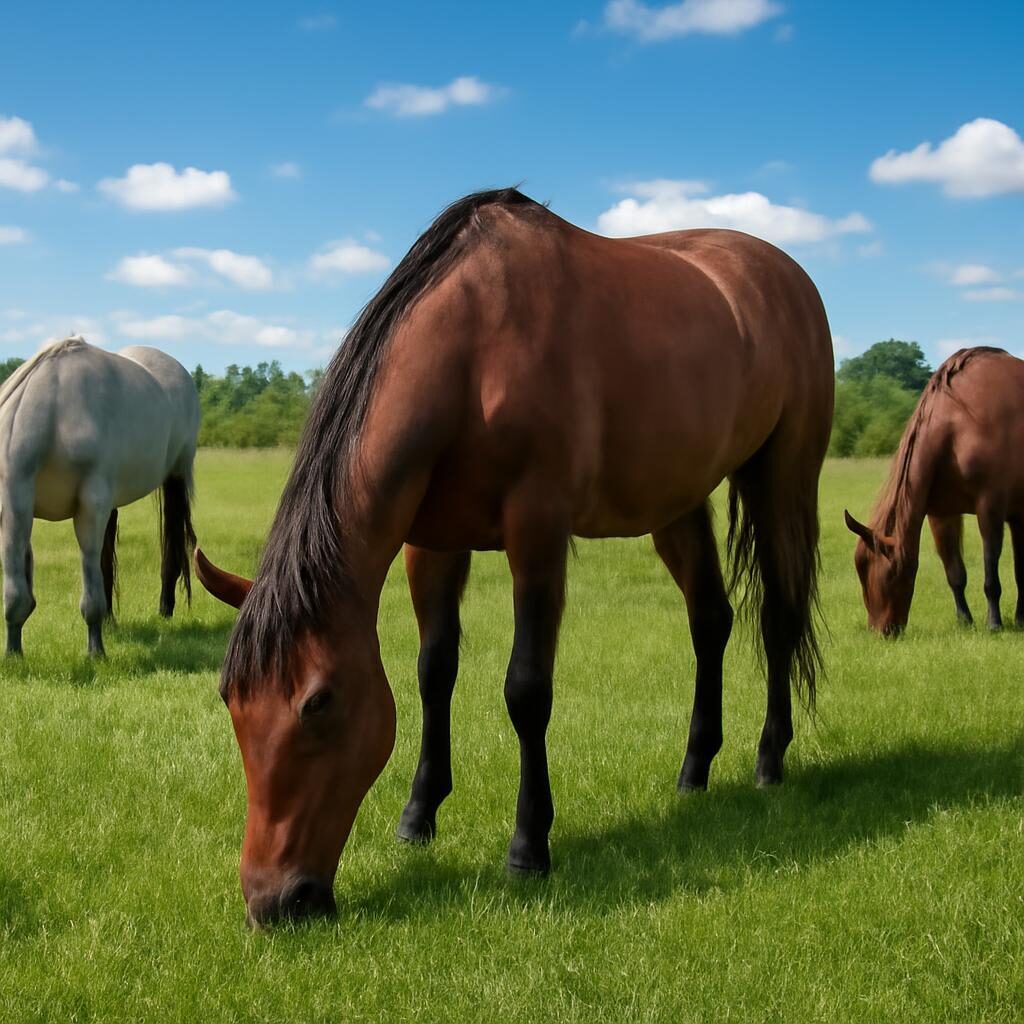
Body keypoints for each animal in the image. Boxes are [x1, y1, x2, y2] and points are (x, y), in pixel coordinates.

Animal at [0, 336, 199, 657]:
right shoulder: (15, 505)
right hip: (111, 500)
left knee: (172, 541)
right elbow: (18, 591)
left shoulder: (89, 506)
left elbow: (90, 587)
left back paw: (164, 610)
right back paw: (110, 620)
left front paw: (96, 652)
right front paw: (13, 653)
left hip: (175, 478)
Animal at [194, 187, 834, 927]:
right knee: (711, 620)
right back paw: (695, 770)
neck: (474, 355)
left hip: (781, 481)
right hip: (677, 501)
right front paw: (419, 814)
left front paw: (529, 846)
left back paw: (769, 759)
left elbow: (526, 689)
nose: (273, 902)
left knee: (778, 616)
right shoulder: (430, 544)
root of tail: (787, 274)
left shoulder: (538, 530)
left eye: (317, 704)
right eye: (231, 699)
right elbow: (433, 671)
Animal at [845, 346, 1024, 635]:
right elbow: (955, 573)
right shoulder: (941, 514)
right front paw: (964, 620)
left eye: (890, 572)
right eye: (861, 569)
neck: (957, 426)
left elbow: (990, 573)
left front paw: (994, 623)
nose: (882, 631)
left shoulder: (991, 509)